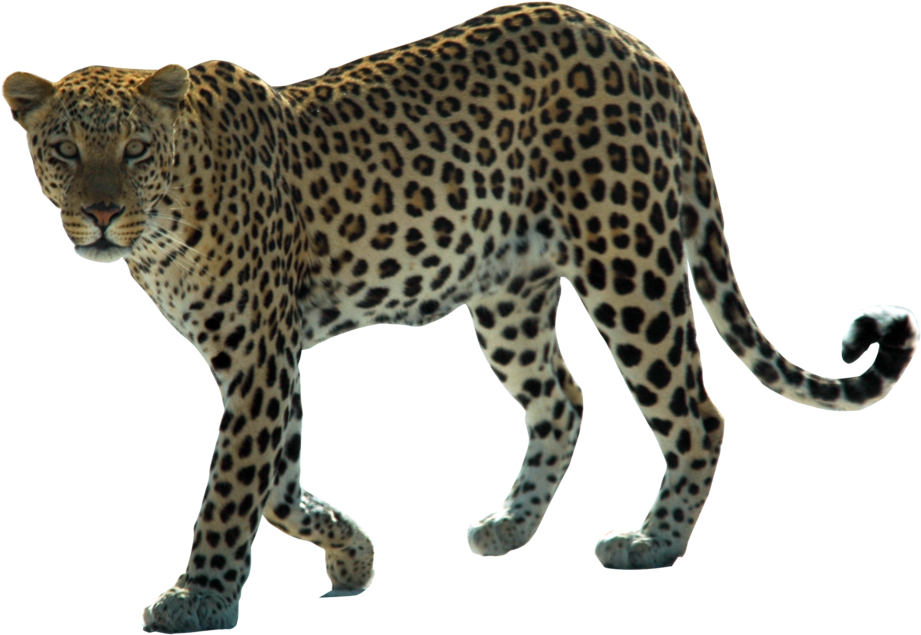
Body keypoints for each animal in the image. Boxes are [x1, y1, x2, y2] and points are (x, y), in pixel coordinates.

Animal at [4, 2, 918, 632]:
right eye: (63, 150)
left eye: (134, 151)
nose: (100, 215)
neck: (165, 223)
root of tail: (637, 46)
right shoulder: (269, 358)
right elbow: (279, 483)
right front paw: (352, 554)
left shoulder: (259, 356)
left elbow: (233, 486)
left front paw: (198, 596)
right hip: (507, 296)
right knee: (563, 398)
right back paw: (510, 525)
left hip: (627, 263)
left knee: (696, 411)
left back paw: (650, 544)